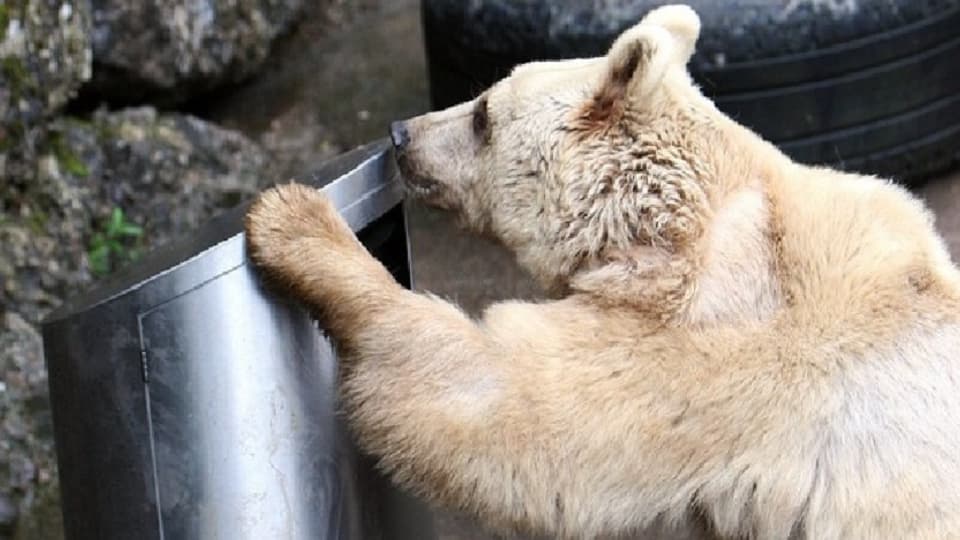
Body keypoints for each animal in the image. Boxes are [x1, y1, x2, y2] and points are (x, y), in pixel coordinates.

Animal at [246, 5, 960, 540]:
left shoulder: (712, 343)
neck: (673, 219)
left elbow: (507, 401)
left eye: (482, 112)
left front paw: (291, 219)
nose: (401, 133)